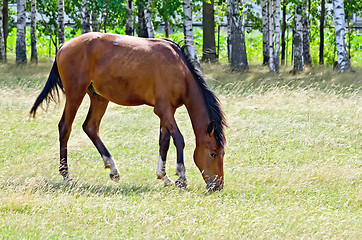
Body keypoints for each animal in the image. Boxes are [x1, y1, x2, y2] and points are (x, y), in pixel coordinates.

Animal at [30, 31, 226, 190]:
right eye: (212, 153)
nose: (217, 185)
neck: (179, 69)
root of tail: (64, 46)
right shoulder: (164, 110)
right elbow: (179, 139)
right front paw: (181, 177)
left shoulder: (167, 111)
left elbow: (164, 142)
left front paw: (164, 176)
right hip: (75, 93)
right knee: (65, 127)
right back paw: (66, 175)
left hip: (99, 98)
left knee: (90, 127)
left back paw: (113, 169)